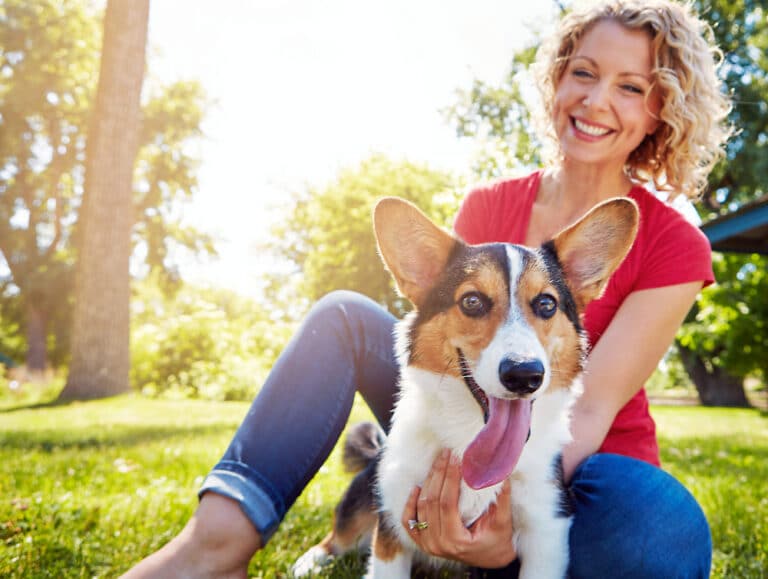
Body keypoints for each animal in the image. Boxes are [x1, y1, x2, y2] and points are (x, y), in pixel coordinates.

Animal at [292, 197, 640, 576]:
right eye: (472, 301)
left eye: (547, 304)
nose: (524, 375)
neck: (470, 435)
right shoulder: (391, 528)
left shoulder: (546, 533)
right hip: (365, 497)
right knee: (340, 534)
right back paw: (311, 561)